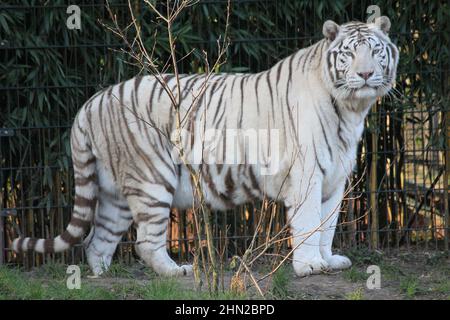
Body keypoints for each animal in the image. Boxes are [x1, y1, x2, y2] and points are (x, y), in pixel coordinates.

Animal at [12, 16, 398, 278]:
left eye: (375, 51)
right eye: (349, 54)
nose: (366, 74)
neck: (350, 109)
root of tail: (90, 103)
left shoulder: (335, 178)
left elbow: (327, 225)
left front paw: (329, 260)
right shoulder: (306, 175)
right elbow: (308, 223)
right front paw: (310, 266)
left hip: (114, 192)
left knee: (97, 241)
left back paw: (104, 277)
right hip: (151, 178)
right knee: (145, 242)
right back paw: (176, 272)